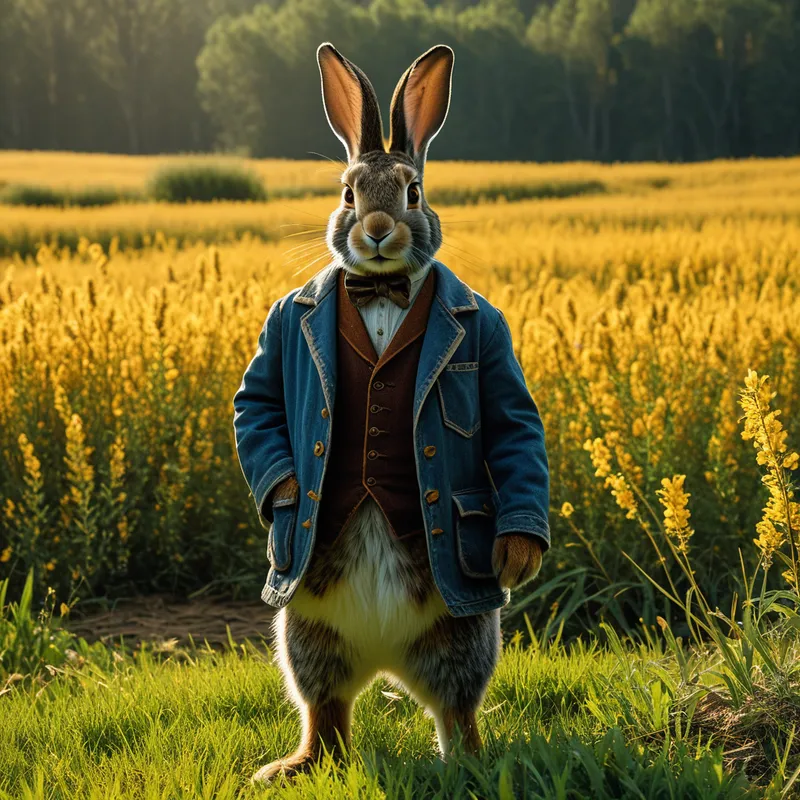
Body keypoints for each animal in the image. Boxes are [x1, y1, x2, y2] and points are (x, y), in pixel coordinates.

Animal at [237, 42, 548, 784]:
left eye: (414, 193)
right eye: (348, 193)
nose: (377, 231)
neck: (381, 290)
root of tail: (383, 657)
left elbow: (514, 426)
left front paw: (519, 554)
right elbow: (258, 399)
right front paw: (287, 488)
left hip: (464, 632)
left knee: (454, 705)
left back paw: (469, 764)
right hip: (305, 632)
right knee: (326, 709)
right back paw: (293, 767)